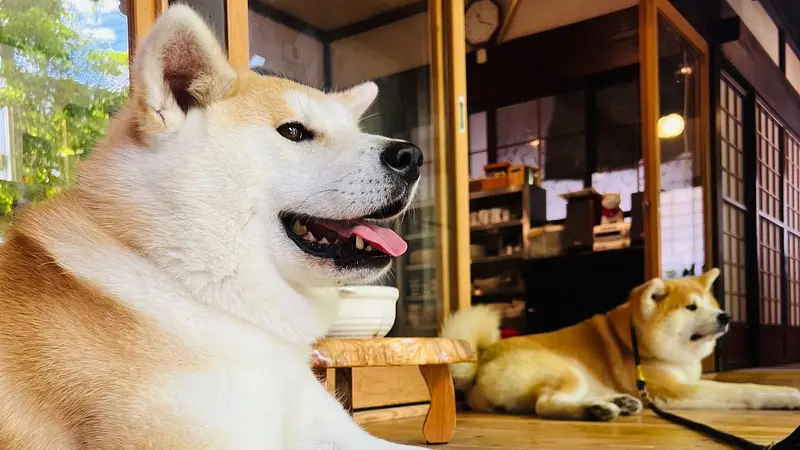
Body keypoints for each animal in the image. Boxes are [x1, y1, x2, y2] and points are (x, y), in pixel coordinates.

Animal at [440, 268, 800, 420]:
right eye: (691, 307)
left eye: (711, 304)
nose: (725, 316)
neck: (638, 343)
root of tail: (483, 358)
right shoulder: (672, 391)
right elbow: (744, 389)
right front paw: (787, 396)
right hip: (565, 370)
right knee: (545, 405)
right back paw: (596, 410)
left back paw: (618, 402)